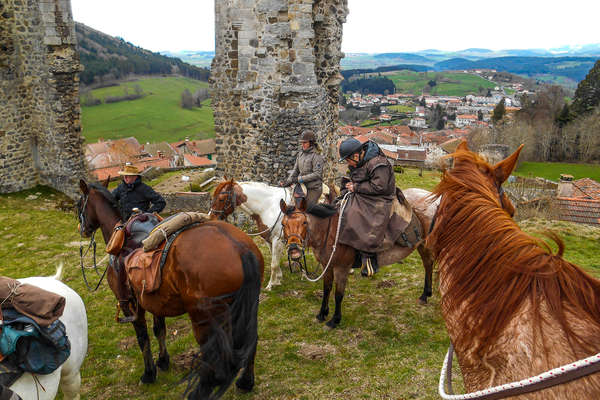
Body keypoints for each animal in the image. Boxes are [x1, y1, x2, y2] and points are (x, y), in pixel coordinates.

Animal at [76, 180, 264, 398]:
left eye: (79, 204)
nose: (82, 229)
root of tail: (240, 248)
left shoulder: (132, 307)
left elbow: (143, 338)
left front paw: (149, 374)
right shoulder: (155, 302)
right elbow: (160, 330)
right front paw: (163, 361)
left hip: (205, 318)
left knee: (213, 354)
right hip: (246, 307)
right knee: (250, 341)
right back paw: (245, 382)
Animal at [213, 180, 438, 290]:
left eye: (222, 197)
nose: (212, 216)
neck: (269, 205)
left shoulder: (278, 240)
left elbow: (275, 263)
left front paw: (270, 285)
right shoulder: (273, 240)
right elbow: (276, 262)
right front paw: (278, 279)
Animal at [278, 194, 434, 328]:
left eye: (304, 222)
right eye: (283, 224)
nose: (294, 250)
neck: (330, 233)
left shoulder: (342, 268)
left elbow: (338, 294)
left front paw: (335, 320)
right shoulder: (327, 266)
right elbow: (327, 289)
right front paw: (322, 313)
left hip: (426, 245)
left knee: (429, 264)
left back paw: (425, 295)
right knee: (428, 264)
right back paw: (425, 295)